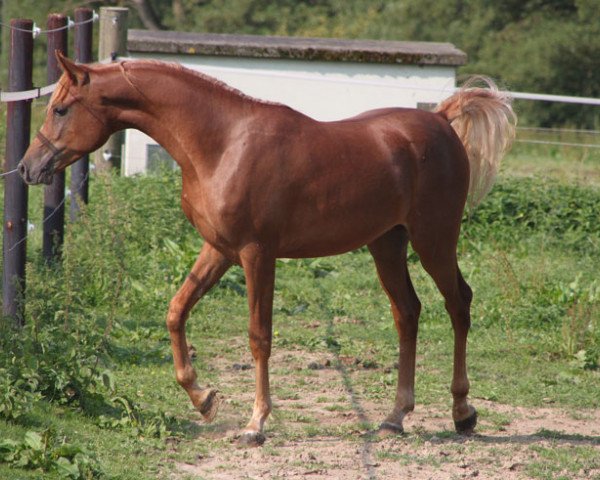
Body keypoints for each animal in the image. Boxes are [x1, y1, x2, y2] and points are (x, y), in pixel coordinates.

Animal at [18, 52, 516, 446]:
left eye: (60, 108)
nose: (28, 168)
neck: (222, 144)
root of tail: (441, 119)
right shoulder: (218, 249)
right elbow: (176, 311)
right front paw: (204, 399)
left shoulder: (258, 254)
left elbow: (259, 337)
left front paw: (255, 423)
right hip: (386, 245)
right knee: (407, 313)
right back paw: (395, 417)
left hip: (434, 240)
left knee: (458, 304)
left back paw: (462, 412)